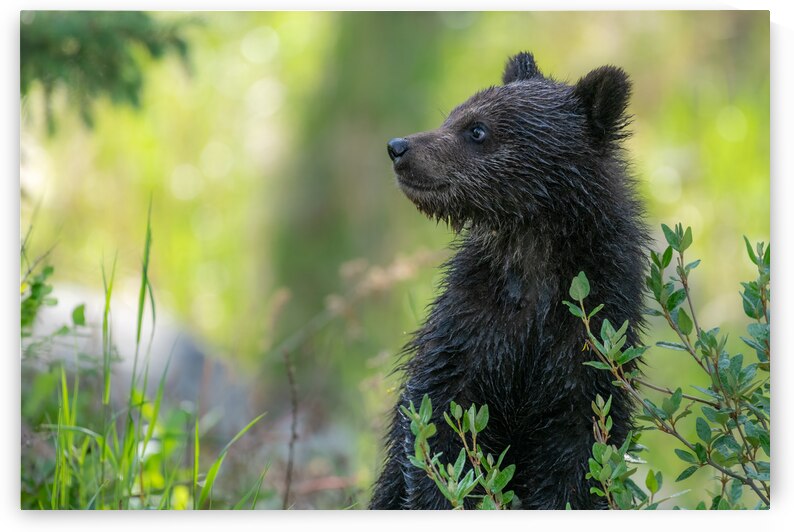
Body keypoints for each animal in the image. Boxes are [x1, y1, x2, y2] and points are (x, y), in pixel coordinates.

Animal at [369, 52, 648, 510]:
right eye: (453, 114)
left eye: (477, 129)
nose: (399, 148)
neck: (533, 250)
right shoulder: (472, 323)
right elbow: (439, 423)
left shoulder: (591, 331)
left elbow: (580, 453)